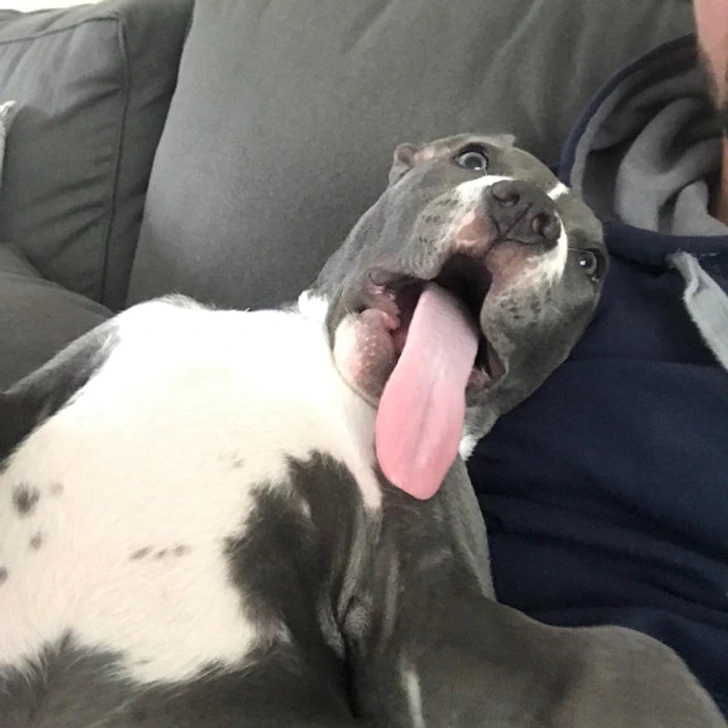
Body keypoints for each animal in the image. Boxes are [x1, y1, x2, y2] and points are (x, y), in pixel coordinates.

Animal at [0, 134, 724, 727]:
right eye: (473, 157)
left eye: (591, 262)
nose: (525, 212)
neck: (322, 361)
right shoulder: (103, 346)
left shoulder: (430, 590)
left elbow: (634, 657)